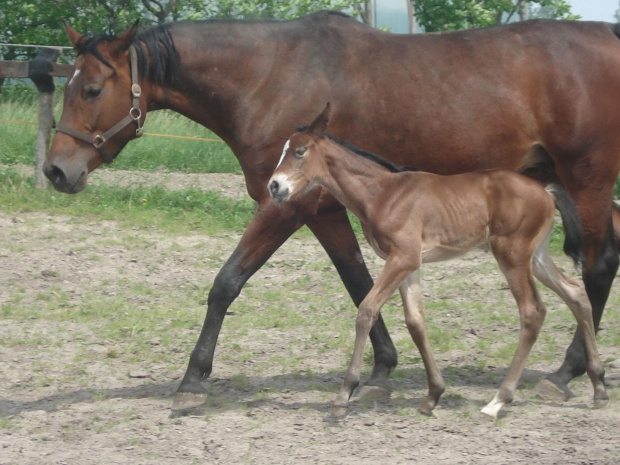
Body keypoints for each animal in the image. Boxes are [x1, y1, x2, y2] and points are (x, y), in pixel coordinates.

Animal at [268, 105, 608, 416]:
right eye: (283, 150)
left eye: (299, 151)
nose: (275, 186)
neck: (382, 192)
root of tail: (546, 190)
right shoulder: (409, 263)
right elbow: (416, 321)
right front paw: (433, 395)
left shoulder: (401, 257)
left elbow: (366, 310)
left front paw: (344, 395)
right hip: (535, 256)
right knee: (576, 293)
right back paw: (598, 386)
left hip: (511, 254)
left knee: (532, 312)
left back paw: (499, 400)